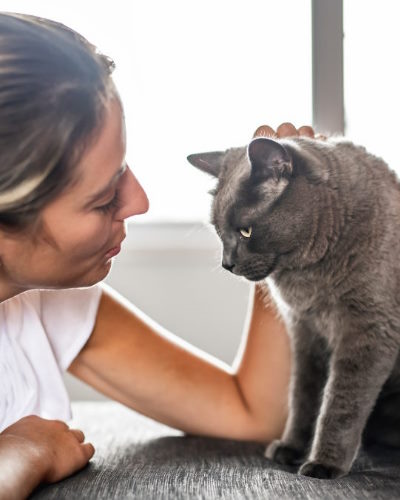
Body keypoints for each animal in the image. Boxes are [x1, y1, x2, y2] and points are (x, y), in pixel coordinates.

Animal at [187, 135, 400, 478]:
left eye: (246, 230)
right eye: (219, 231)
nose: (227, 263)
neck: (309, 276)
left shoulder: (368, 330)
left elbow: (341, 403)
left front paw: (323, 463)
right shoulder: (304, 331)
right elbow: (302, 396)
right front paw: (290, 448)